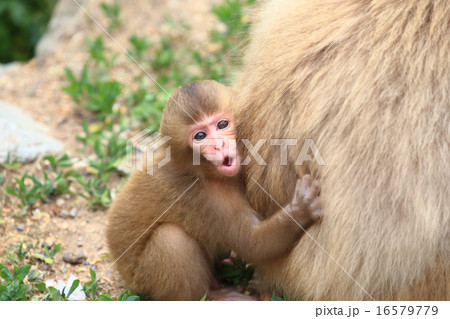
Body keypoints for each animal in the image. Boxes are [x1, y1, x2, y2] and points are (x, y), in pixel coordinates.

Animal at [107, 80, 322, 300]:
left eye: (222, 125)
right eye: (200, 136)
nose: (219, 145)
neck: (202, 171)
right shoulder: (212, 197)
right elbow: (253, 244)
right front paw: (301, 208)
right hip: (144, 278)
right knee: (171, 238)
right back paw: (213, 295)